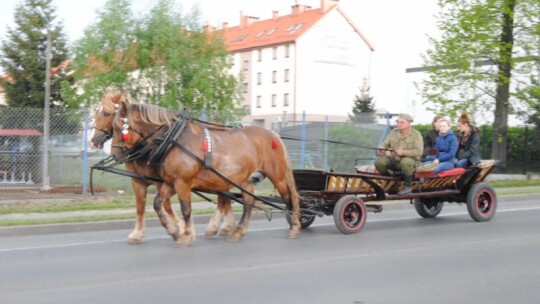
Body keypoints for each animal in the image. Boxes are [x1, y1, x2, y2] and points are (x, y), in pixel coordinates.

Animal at [90, 94, 236, 243]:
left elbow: (166, 205)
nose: (93, 140)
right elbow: (141, 206)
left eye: (106, 113)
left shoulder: (166, 181)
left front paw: (178, 227)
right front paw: (138, 233)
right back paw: (225, 226)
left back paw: (219, 225)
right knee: (224, 196)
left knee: (223, 197)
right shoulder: (138, 181)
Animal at [111, 100, 302, 247]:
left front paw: (186, 235)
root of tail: (274, 134)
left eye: (119, 128)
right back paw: (238, 231)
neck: (173, 140)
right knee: (248, 202)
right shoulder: (171, 182)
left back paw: (294, 226)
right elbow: (158, 203)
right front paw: (173, 230)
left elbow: (186, 209)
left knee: (288, 197)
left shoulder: (182, 182)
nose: (114, 154)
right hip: (245, 179)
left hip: (276, 174)